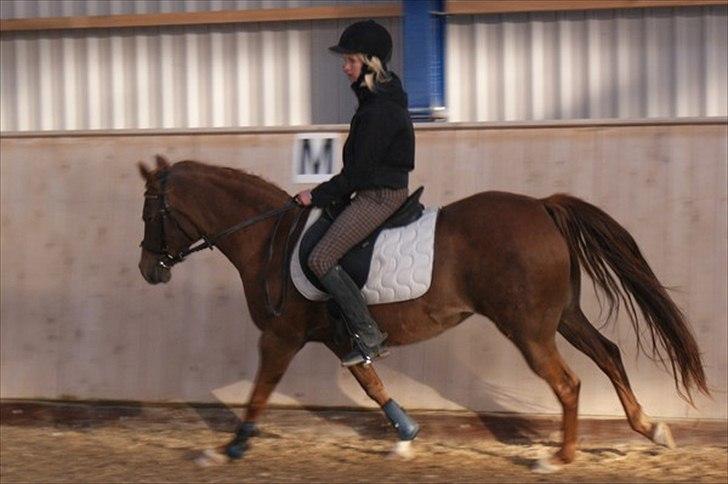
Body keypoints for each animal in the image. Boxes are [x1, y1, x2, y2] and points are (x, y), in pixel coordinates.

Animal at [136, 156, 704, 472]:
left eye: (148, 212)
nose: (148, 270)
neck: (268, 241)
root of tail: (543, 206)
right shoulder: (343, 339)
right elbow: (372, 385)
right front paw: (406, 437)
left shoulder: (280, 336)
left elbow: (258, 393)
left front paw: (228, 449)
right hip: (562, 315)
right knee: (608, 355)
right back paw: (651, 428)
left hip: (528, 329)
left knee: (568, 383)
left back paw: (559, 458)